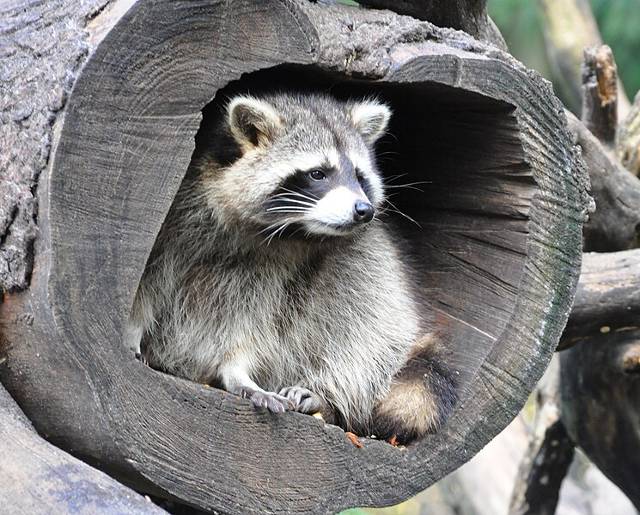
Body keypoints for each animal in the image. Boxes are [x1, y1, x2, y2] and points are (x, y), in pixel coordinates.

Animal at [129, 92, 456, 443]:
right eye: (318, 173)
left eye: (359, 175)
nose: (364, 210)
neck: (290, 232)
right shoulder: (174, 224)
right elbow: (146, 284)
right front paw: (132, 328)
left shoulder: (270, 272)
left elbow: (252, 321)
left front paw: (236, 368)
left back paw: (325, 395)